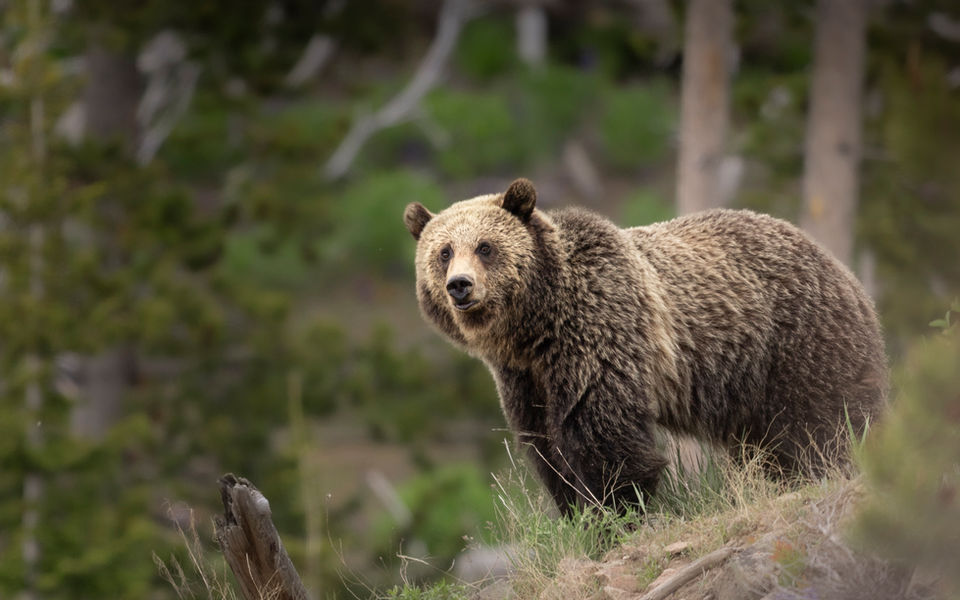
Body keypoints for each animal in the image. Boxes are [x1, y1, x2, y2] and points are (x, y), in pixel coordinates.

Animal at [403, 178, 887, 516]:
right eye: (443, 252)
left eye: (485, 246)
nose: (460, 286)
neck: (536, 327)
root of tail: (842, 269)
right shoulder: (524, 379)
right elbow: (548, 449)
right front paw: (577, 512)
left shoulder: (599, 334)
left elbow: (606, 438)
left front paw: (615, 511)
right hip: (748, 383)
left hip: (797, 344)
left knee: (825, 424)